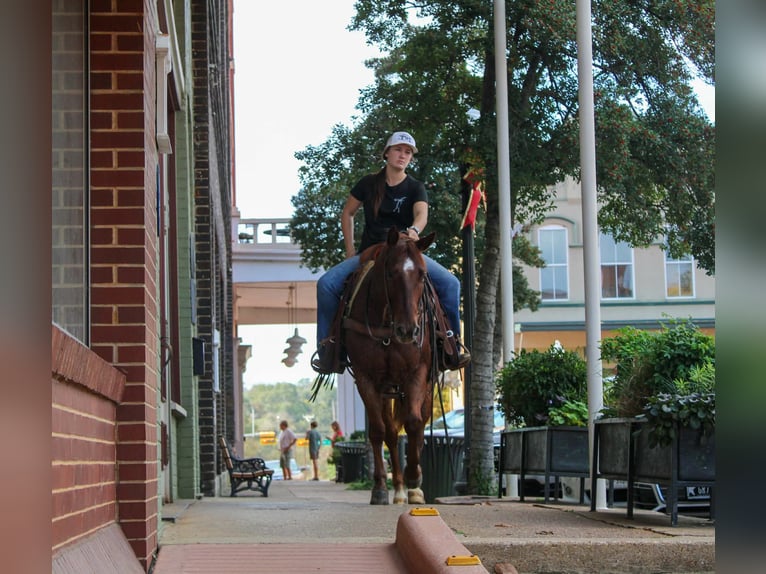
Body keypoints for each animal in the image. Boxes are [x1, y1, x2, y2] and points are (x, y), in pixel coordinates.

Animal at [342, 226, 438, 505]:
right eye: (390, 272)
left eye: (422, 274)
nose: (408, 330)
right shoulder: (366, 377)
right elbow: (378, 431)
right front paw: (380, 488)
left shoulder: (418, 372)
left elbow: (415, 424)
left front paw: (415, 477)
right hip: (387, 389)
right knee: (392, 432)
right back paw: (398, 489)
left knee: (418, 426)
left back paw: (413, 489)